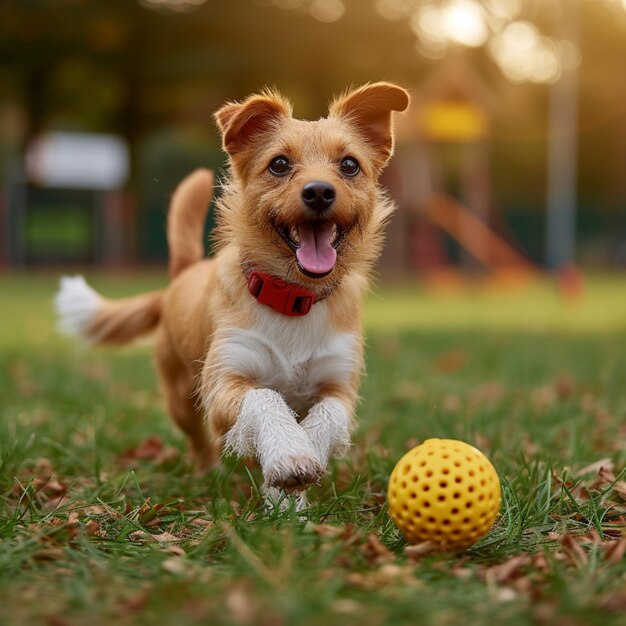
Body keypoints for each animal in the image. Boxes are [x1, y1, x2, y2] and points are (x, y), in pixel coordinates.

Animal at [54, 81, 410, 502]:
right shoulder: (225, 383)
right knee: (200, 442)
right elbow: (265, 399)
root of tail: (183, 273)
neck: (293, 298)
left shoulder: (339, 386)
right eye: (279, 164)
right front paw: (288, 455)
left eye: (350, 165)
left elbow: (327, 418)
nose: (320, 192)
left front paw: (290, 485)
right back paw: (210, 474)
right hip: (181, 398)